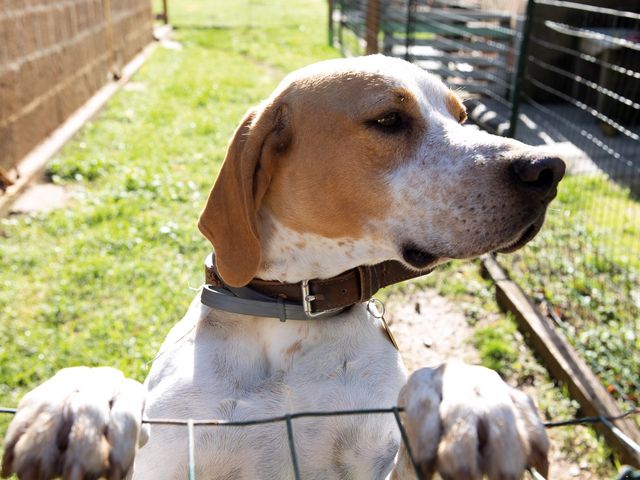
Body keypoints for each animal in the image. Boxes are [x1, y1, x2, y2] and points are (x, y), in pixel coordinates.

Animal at [3, 55, 564, 480]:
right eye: (388, 120)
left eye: (462, 116)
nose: (548, 168)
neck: (295, 313)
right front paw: (79, 399)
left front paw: (471, 396)